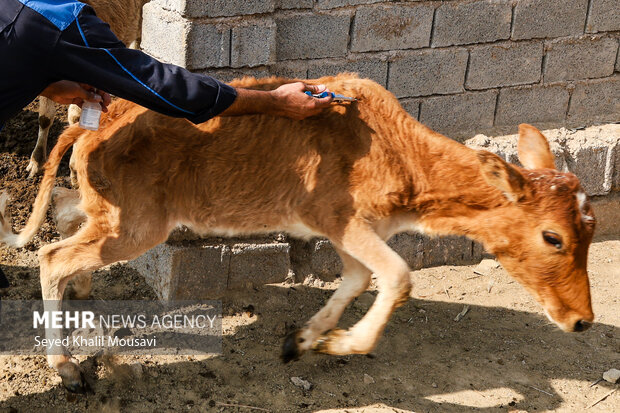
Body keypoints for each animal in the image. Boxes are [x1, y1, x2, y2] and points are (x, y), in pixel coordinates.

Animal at [0, 74, 592, 392]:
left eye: (588, 230)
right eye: (553, 238)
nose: (582, 320)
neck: (404, 161)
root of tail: (97, 125)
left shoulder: (348, 232)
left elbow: (360, 279)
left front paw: (305, 339)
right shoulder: (339, 218)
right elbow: (399, 276)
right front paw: (343, 342)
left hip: (112, 213)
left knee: (66, 217)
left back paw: (84, 304)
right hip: (138, 225)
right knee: (52, 256)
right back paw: (65, 366)